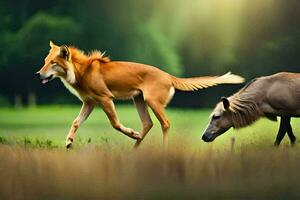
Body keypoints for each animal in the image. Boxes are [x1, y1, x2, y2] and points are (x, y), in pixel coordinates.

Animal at [37, 41, 244, 148]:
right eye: (45, 61)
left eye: (54, 63)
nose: (38, 74)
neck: (81, 71)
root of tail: (168, 75)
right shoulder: (90, 103)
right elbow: (76, 122)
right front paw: (69, 141)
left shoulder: (105, 99)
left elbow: (115, 124)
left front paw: (130, 132)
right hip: (138, 99)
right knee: (148, 123)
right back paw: (136, 147)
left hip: (151, 101)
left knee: (165, 123)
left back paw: (160, 149)